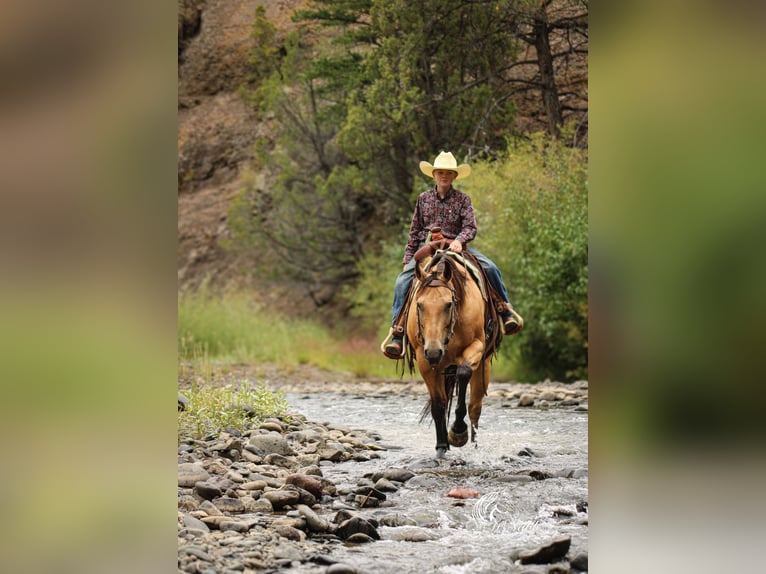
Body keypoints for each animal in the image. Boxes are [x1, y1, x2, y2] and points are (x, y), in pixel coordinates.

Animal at [405, 248, 502, 458]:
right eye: (419, 305)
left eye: (448, 304)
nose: (434, 351)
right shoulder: (425, 361)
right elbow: (439, 404)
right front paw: (441, 446)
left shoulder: (476, 347)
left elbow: (463, 373)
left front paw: (457, 432)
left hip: (483, 365)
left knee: (475, 406)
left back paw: (473, 440)